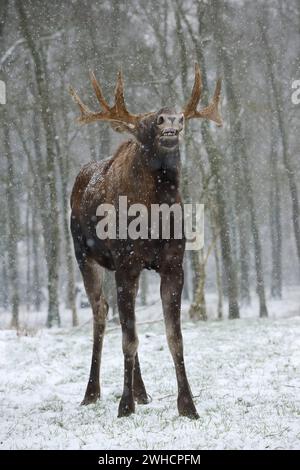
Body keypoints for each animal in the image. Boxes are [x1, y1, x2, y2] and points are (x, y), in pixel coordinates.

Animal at [69, 64, 220, 420]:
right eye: (148, 122)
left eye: (179, 116)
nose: (171, 119)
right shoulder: (127, 263)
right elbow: (129, 338)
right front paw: (124, 406)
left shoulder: (173, 265)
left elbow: (174, 337)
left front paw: (188, 405)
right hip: (84, 255)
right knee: (101, 311)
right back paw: (92, 392)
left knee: (125, 316)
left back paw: (142, 391)